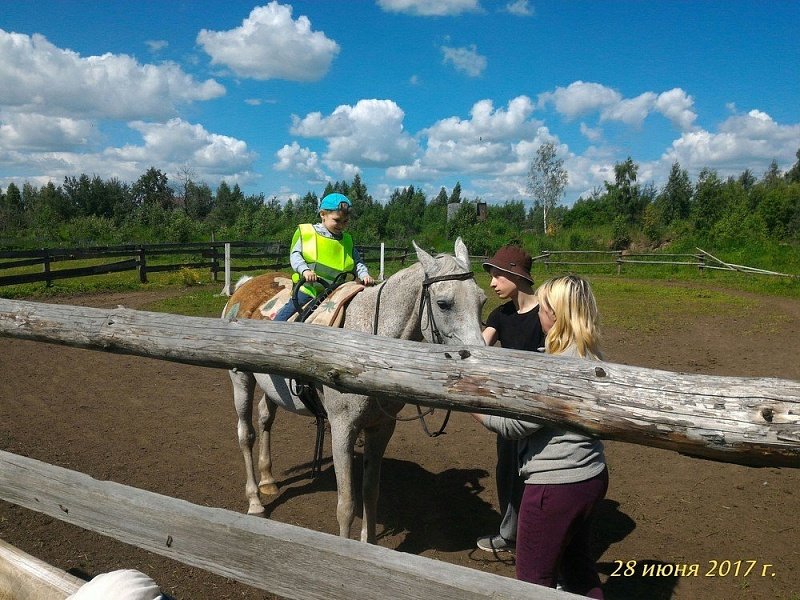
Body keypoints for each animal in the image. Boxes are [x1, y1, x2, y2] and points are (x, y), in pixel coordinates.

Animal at [225, 239, 488, 544]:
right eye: (444, 304)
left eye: (482, 300)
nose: (480, 364)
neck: (365, 352)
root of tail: (245, 286)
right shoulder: (342, 429)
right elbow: (347, 503)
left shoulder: (381, 428)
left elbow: (370, 493)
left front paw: (369, 542)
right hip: (241, 378)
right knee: (246, 434)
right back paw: (255, 501)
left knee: (265, 418)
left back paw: (268, 481)